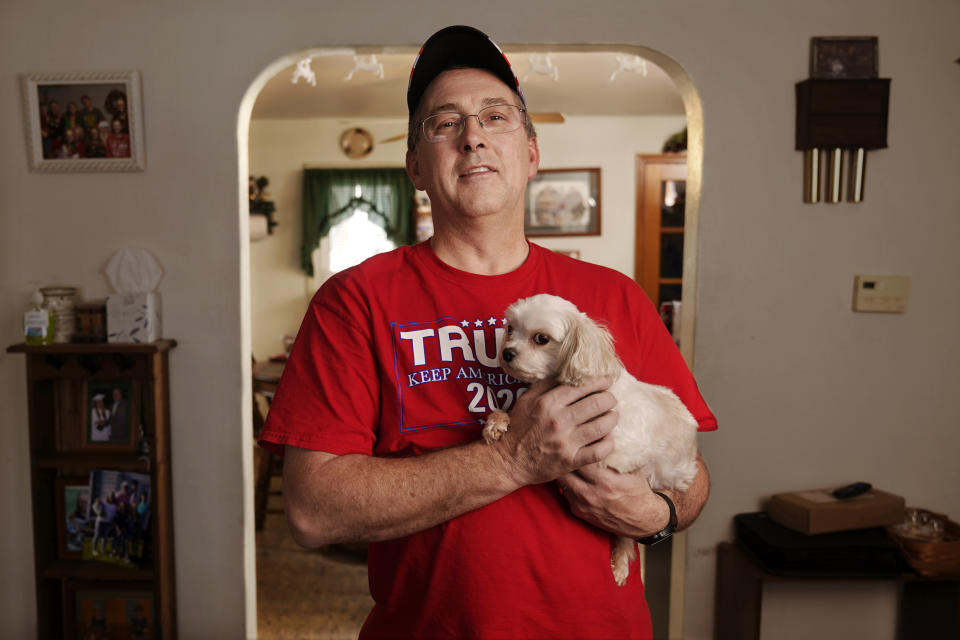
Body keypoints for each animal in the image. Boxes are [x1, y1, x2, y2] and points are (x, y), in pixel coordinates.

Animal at [480, 294, 696, 584]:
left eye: (541, 338)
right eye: (511, 329)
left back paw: (620, 562)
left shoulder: (620, 454)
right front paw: (497, 421)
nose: (506, 352)